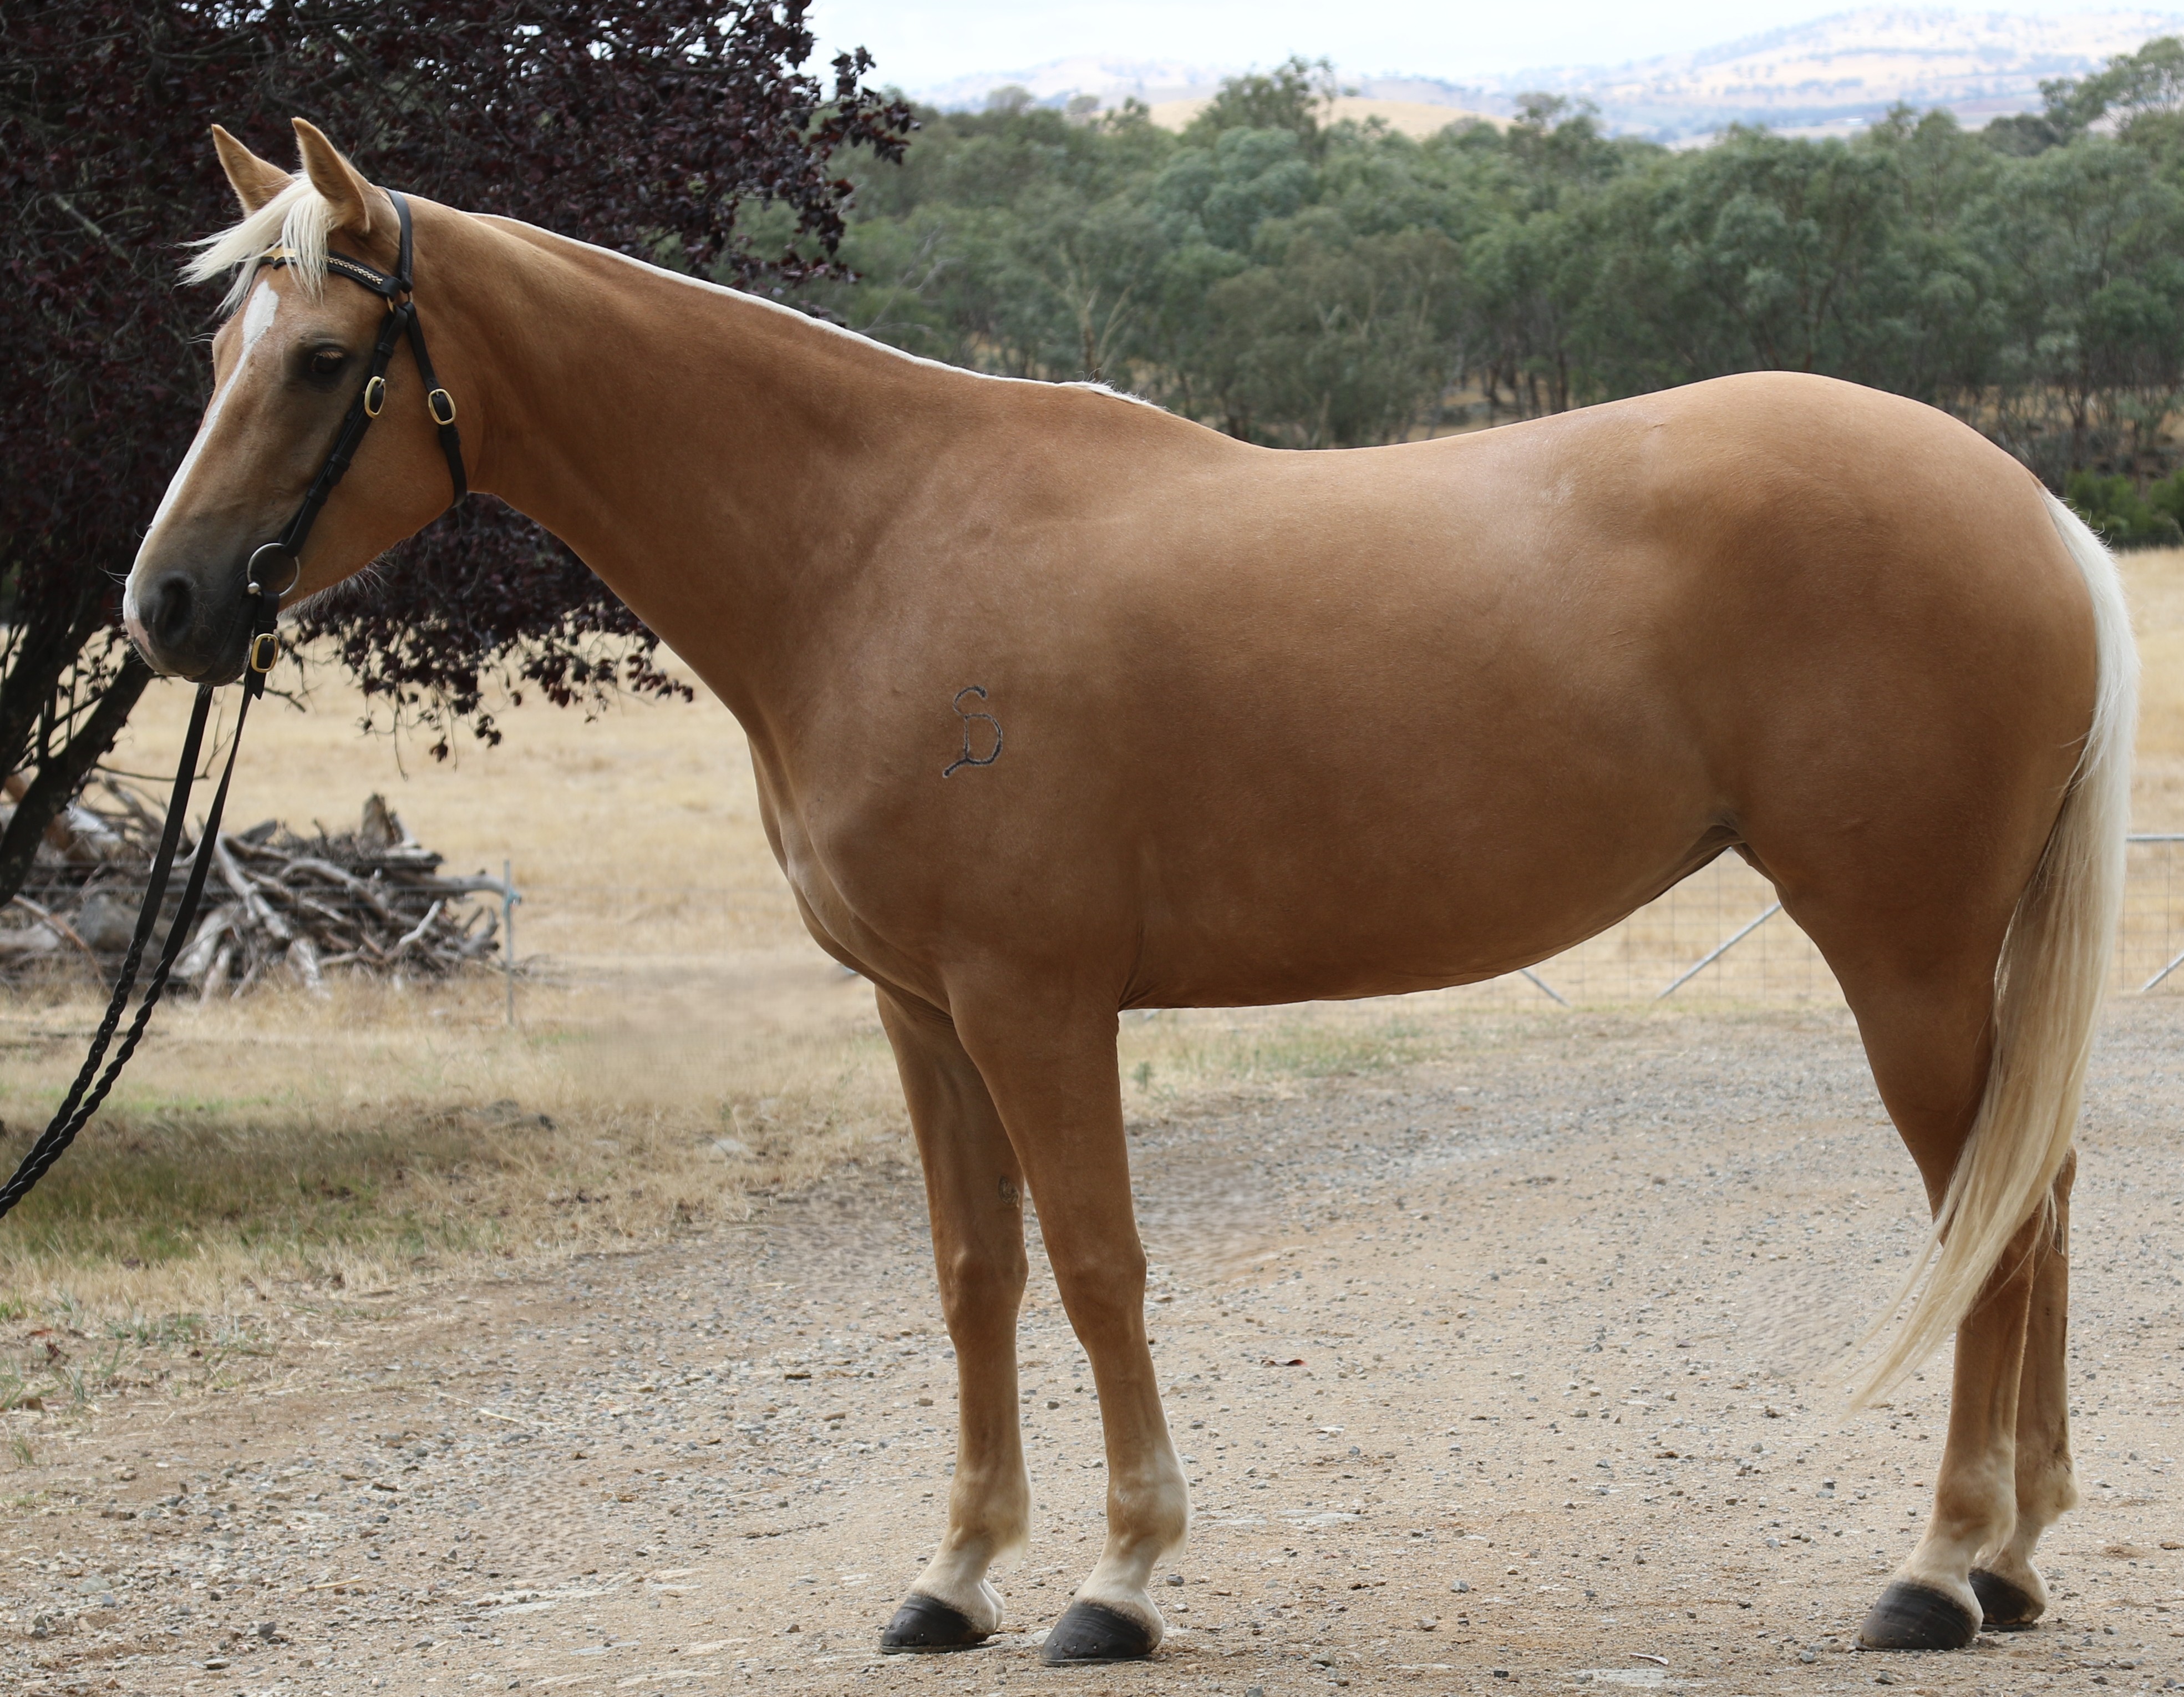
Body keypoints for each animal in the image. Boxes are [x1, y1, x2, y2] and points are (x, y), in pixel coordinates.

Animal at [124, 120, 2135, 1662]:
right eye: (217, 356)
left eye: (322, 363)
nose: (166, 606)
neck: (871, 546)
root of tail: (2032, 507)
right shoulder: (923, 1008)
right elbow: (975, 1274)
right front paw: (951, 1579)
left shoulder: (1033, 997)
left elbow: (1096, 1265)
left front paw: (1119, 1577)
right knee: (2034, 1201)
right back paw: (2013, 1552)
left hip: (1898, 948)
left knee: (1988, 1215)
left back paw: (1937, 1569)